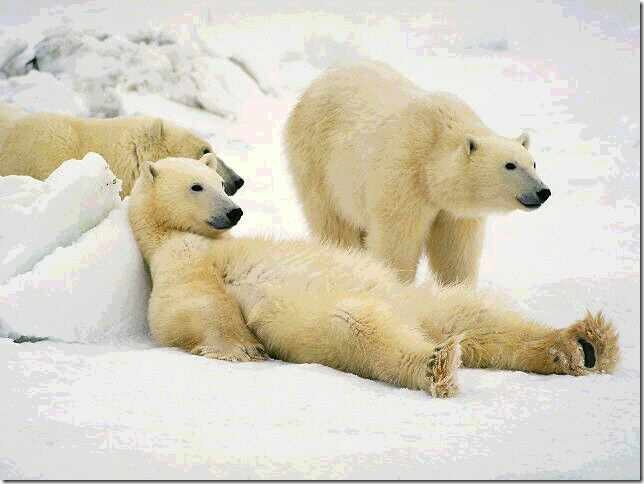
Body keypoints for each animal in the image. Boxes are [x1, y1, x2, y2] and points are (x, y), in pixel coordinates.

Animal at [127, 155, 618, 398]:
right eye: (197, 185)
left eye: (219, 183)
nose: (234, 211)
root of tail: (417, 322)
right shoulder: (177, 259)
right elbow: (189, 307)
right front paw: (243, 349)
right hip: (326, 318)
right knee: (359, 328)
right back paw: (437, 363)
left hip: (419, 299)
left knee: (477, 317)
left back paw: (584, 344)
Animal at [284, 60, 551, 285]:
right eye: (510, 165)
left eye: (533, 163)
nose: (543, 191)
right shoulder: (405, 177)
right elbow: (397, 242)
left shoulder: (454, 212)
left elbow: (455, 250)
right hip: (318, 162)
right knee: (334, 224)